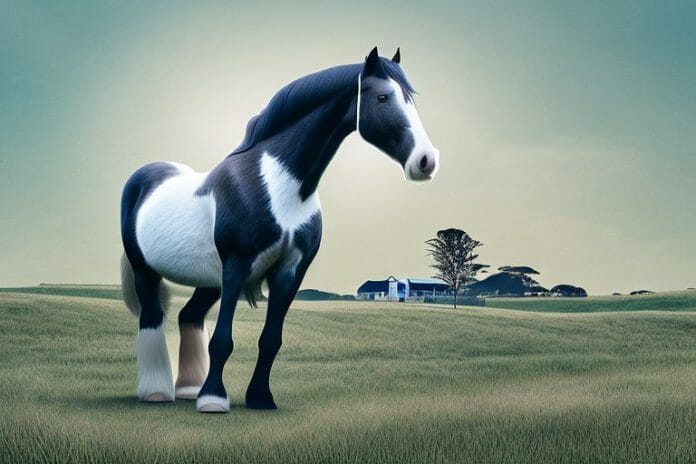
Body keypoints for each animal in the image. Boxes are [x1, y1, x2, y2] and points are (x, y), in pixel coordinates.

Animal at [119, 47, 440, 413]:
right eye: (383, 97)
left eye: (411, 99)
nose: (426, 160)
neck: (276, 185)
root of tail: (143, 176)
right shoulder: (236, 265)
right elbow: (223, 339)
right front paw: (214, 399)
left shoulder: (291, 270)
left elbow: (271, 339)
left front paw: (260, 397)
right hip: (147, 270)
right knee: (152, 317)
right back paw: (157, 392)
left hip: (208, 279)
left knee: (190, 315)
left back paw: (188, 388)